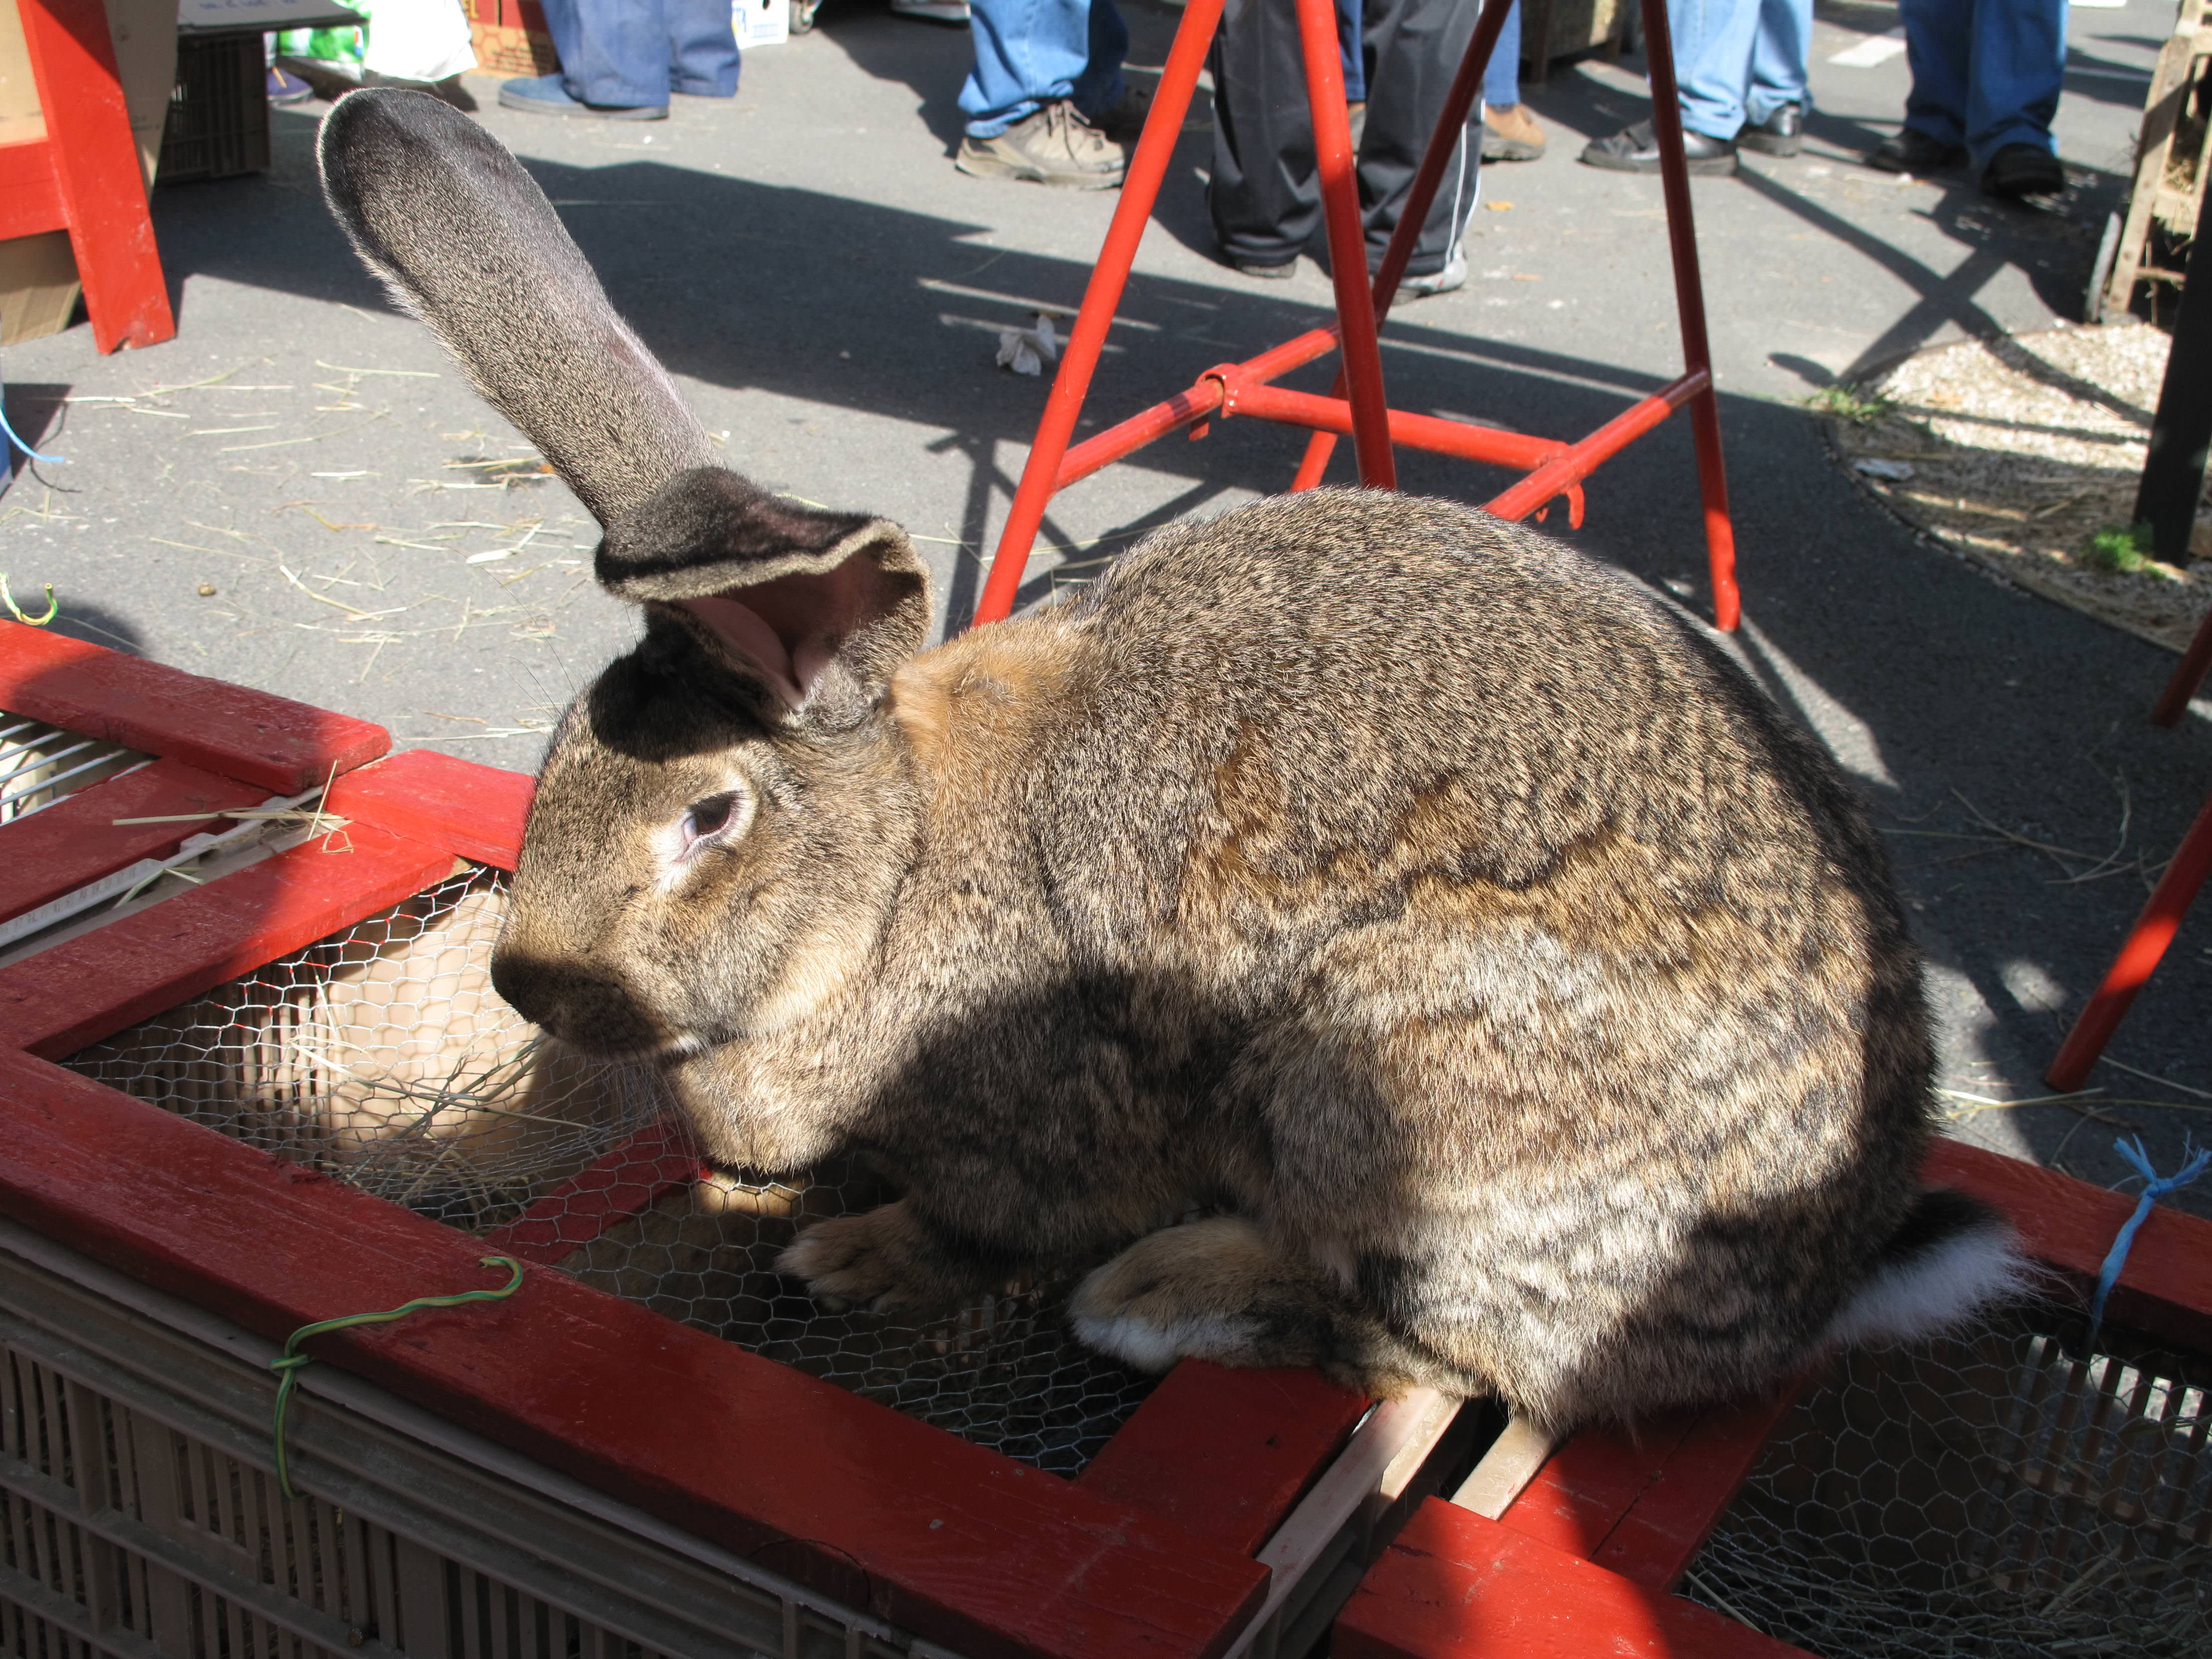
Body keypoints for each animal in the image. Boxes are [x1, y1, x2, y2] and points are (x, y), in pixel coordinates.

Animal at [321, 91, 2026, 1433]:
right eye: (560, 753)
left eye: (708, 817)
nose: (528, 985)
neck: (891, 886)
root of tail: (1827, 1274)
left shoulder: (1040, 1129)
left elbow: (982, 1233)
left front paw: (853, 1256)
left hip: (1393, 1075)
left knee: (1457, 1362)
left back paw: (1162, 1293)